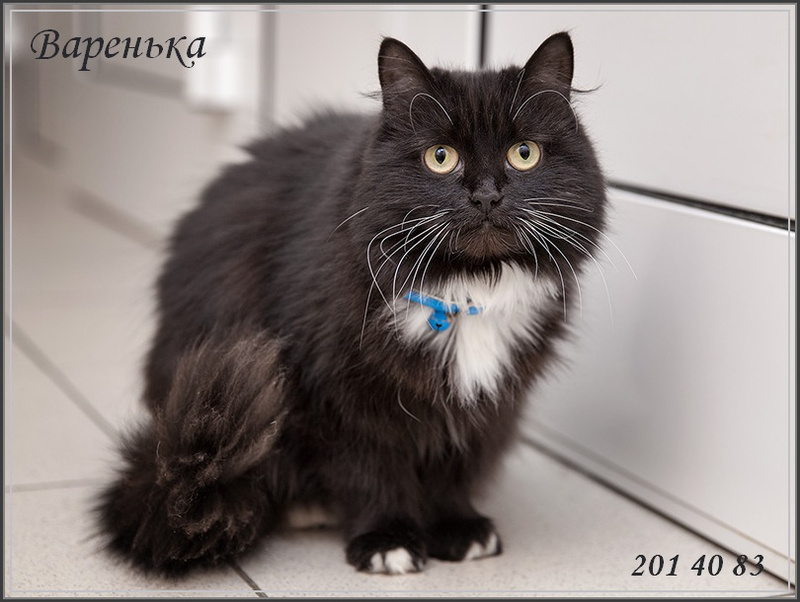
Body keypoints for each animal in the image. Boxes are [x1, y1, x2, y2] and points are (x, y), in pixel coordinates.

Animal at [95, 31, 607, 576]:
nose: (486, 196)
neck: (465, 290)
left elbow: (454, 469)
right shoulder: (340, 399)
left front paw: (457, 529)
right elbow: (371, 473)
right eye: (440, 157)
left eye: (524, 153)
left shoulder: (485, 407)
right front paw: (387, 540)